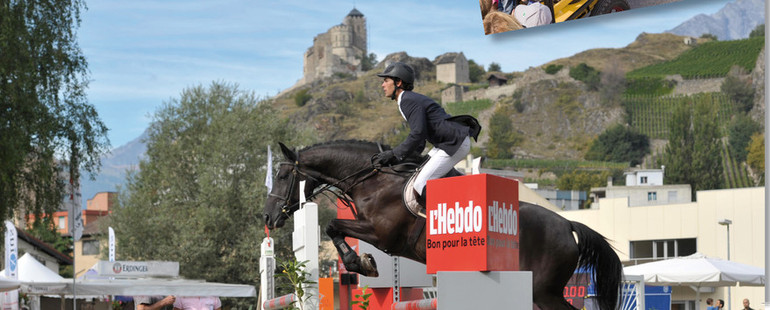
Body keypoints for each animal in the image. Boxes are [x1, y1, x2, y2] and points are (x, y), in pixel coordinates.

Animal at [264, 141, 624, 310]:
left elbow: (334, 227)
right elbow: (335, 228)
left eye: (282, 175)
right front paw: (362, 263)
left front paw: (361, 263)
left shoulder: (381, 234)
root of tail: (568, 224)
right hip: (543, 291)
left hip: (542, 290)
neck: (371, 180)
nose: (268, 217)